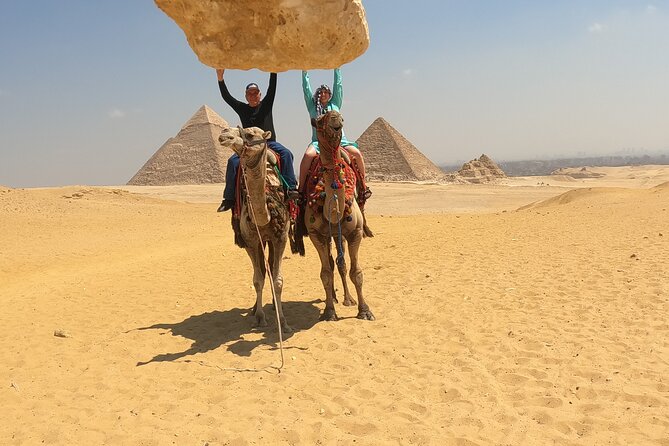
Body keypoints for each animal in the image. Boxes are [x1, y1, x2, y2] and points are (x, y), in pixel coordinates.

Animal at [218, 126, 292, 333]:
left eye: (250, 135)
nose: (224, 134)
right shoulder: (250, 241)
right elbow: (257, 279)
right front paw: (259, 317)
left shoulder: (281, 237)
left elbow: (278, 280)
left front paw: (283, 322)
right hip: (260, 241)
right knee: (262, 271)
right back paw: (254, 309)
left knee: (271, 269)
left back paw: (275, 305)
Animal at [300, 111, 375, 322]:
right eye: (318, 120)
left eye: (340, 116)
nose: (335, 118)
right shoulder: (316, 235)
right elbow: (325, 273)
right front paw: (329, 311)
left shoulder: (355, 232)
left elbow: (356, 272)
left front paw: (364, 310)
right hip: (329, 235)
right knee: (333, 264)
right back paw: (332, 298)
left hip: (339, 234)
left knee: (341, 264)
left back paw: (348, 299)